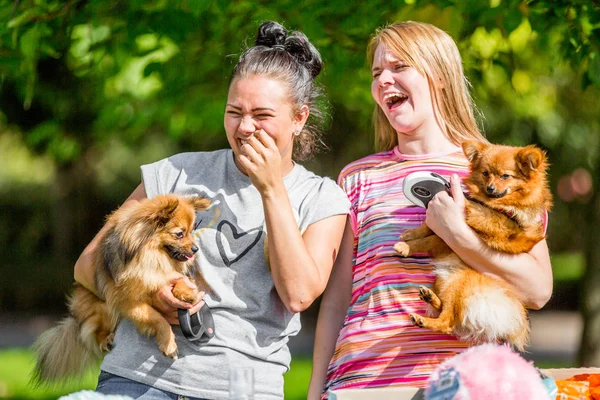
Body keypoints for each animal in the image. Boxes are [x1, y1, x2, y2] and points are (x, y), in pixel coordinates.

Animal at [33, 194, 211, 384]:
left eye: (192, 232)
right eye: (179, 234)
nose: (195, 248)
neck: (152, 256)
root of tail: (77, 316)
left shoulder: (167, 275)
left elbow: (178, 280)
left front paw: (187, 293)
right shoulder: (127, 301)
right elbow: (157, 318)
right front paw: (169, 343)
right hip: (103, 308)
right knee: (93, 331)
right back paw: (106, 339)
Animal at [394, 140, 552, 350]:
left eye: (505, 176)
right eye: (485, 173)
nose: (490, 188)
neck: (496, 206)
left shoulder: (453, 232)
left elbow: (428, 239)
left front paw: (406, 247)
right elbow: (427, 227)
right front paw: (411, 233)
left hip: (460, 285)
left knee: (448, 322)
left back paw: (423, 320)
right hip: (444, 281)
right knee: (446, 311)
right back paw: (430, 297)